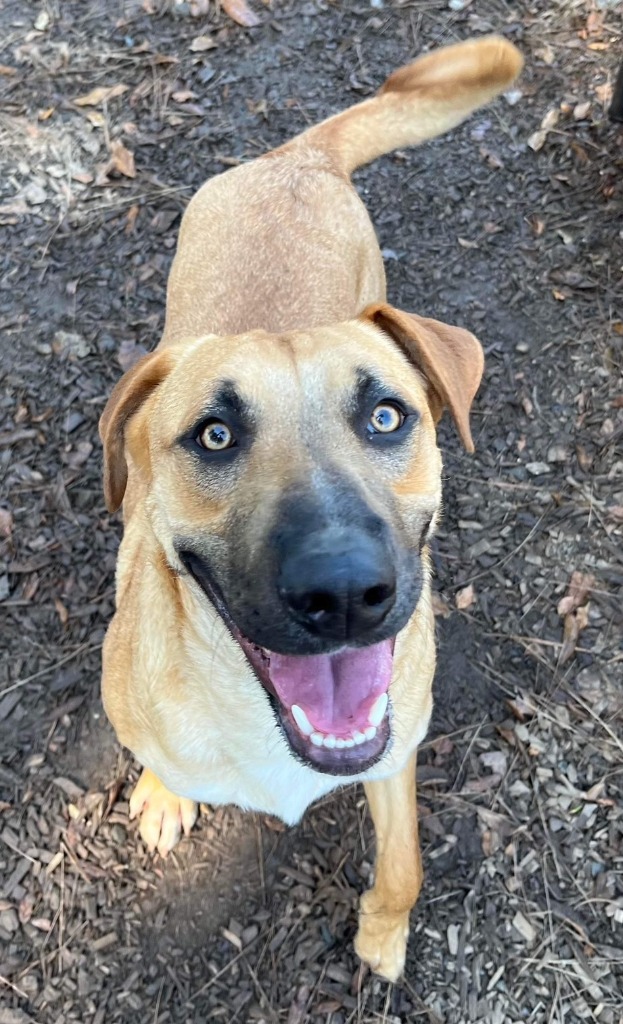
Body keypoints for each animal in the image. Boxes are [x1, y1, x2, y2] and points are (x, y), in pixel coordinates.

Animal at [99, 37, 522, 983]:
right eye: (214, 435)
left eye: (386, 416)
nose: (343, 593)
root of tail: (298, 157)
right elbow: (153, 752)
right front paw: (163, 791)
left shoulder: (397, 745)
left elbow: (402, 867)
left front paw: (380, 935)